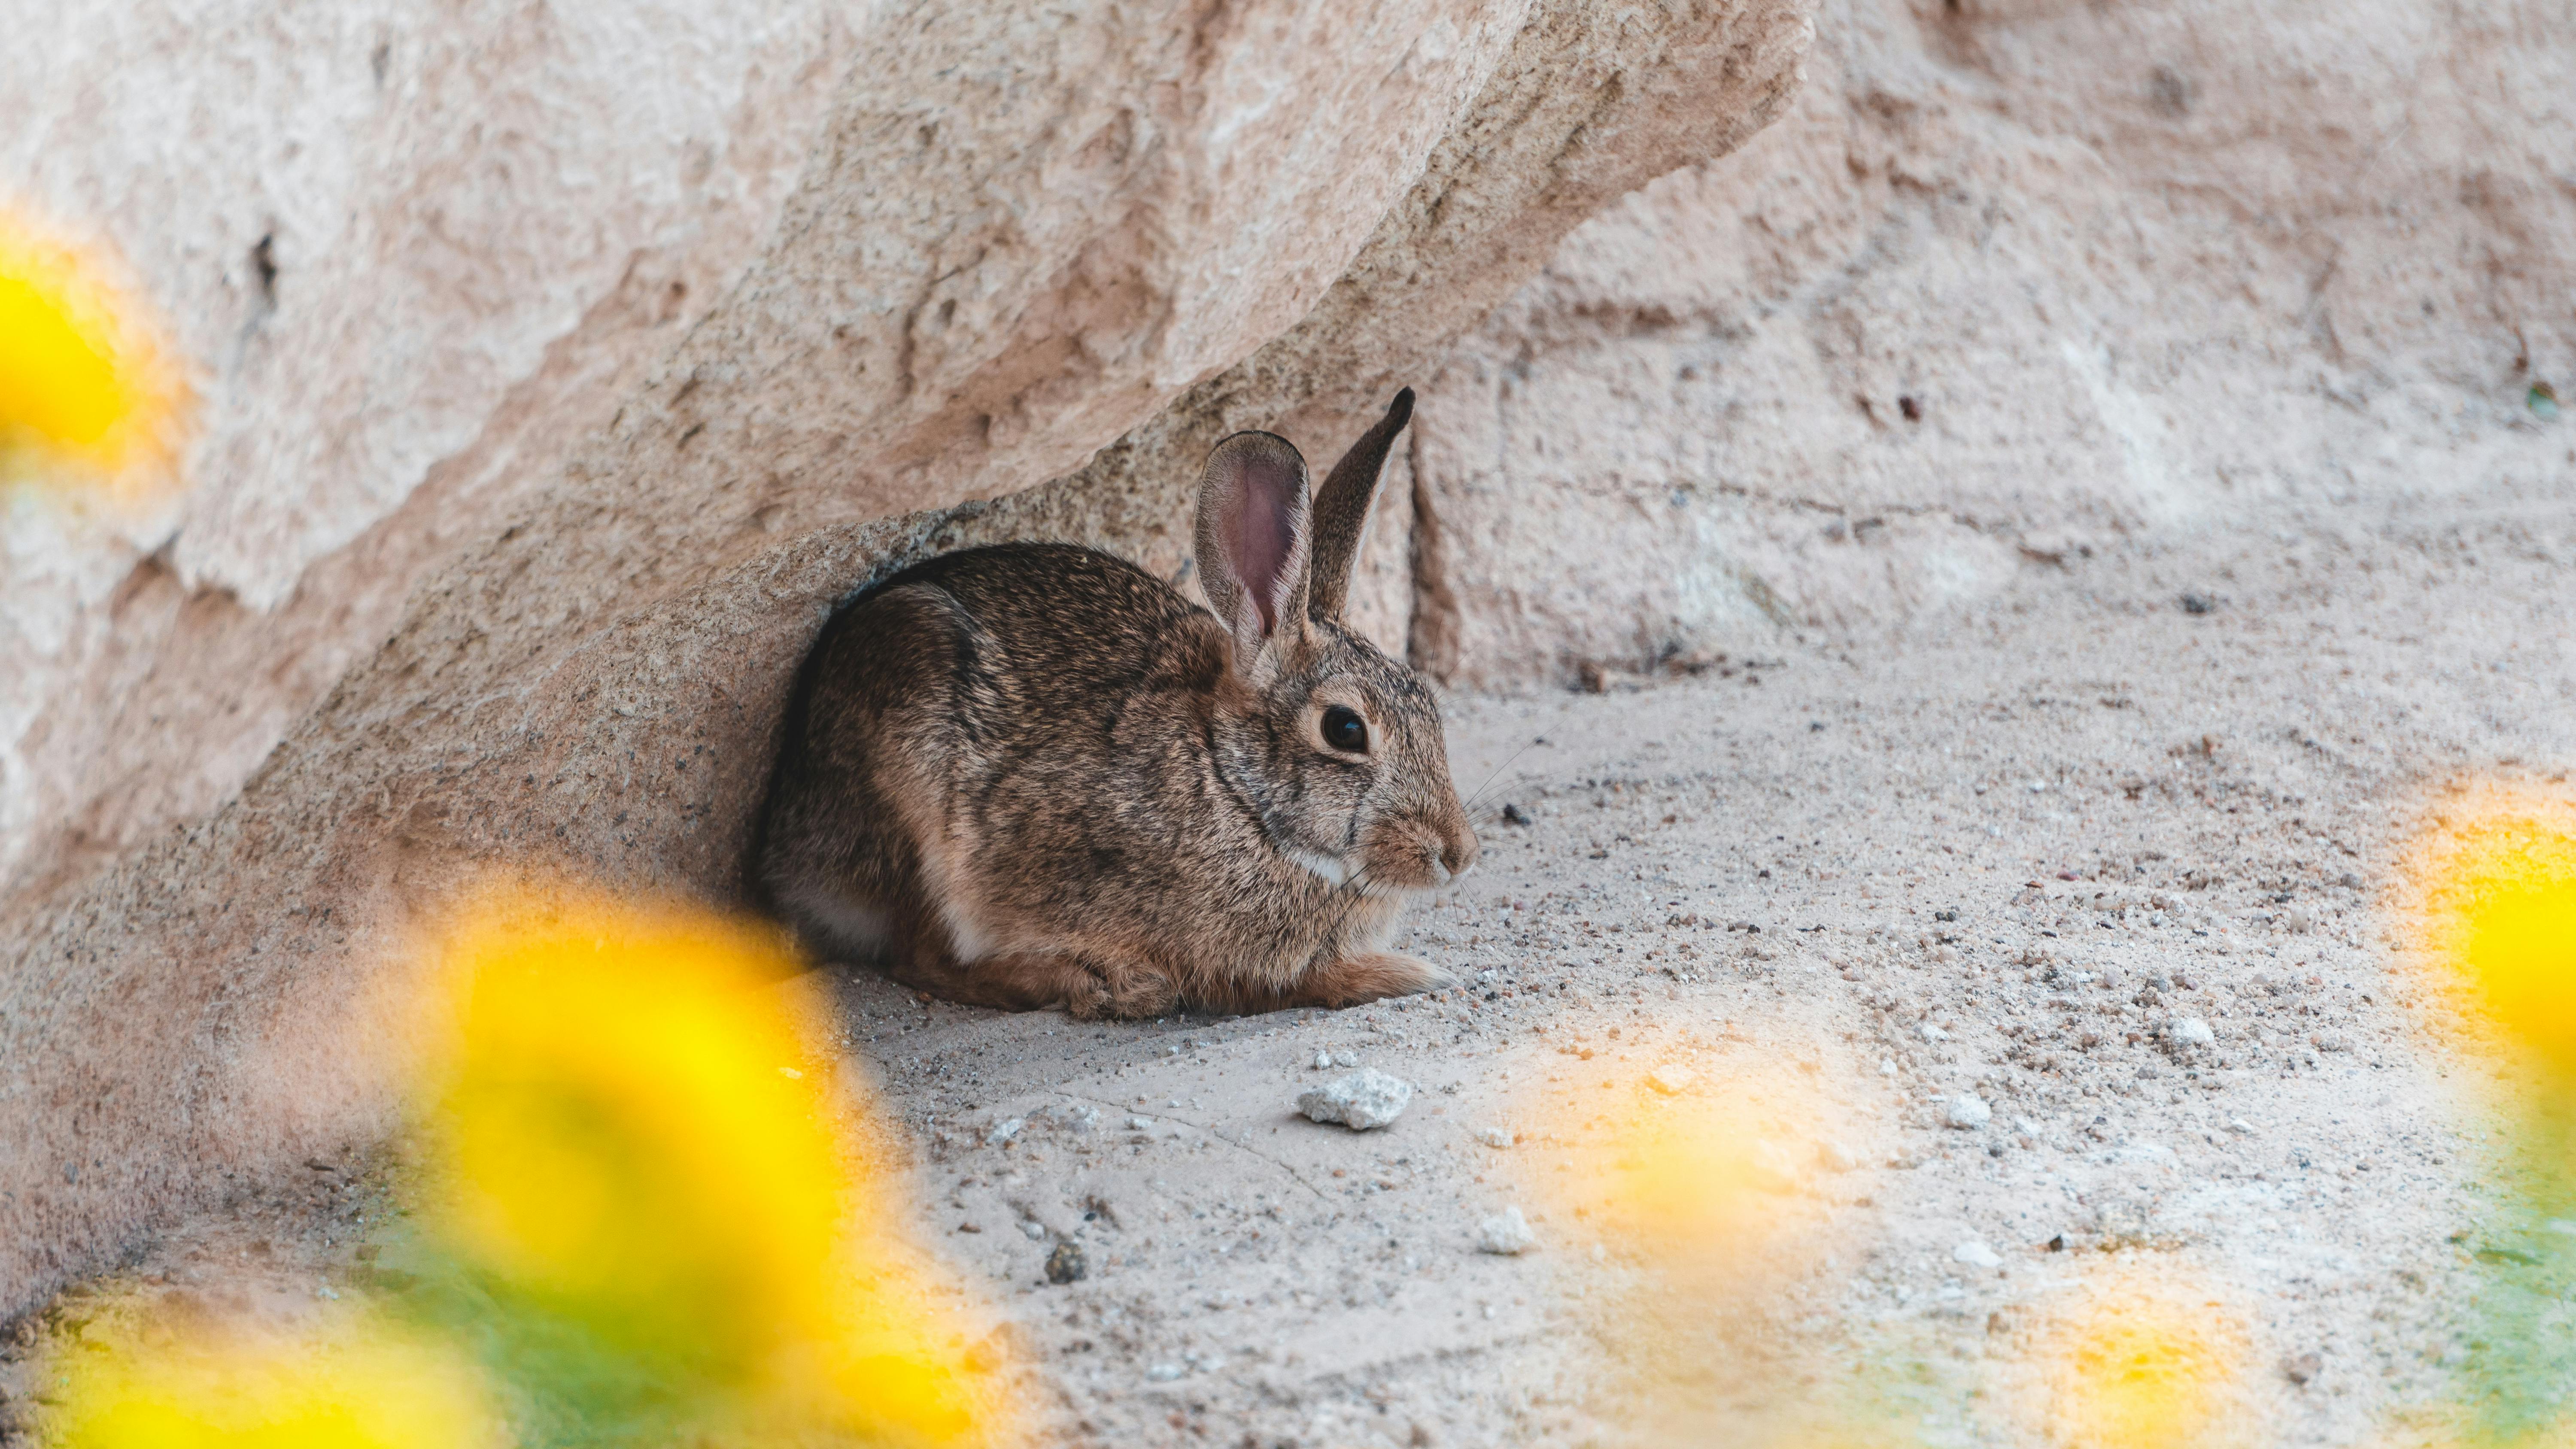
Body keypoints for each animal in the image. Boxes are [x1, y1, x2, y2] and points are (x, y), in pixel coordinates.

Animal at [752, 391, 1473, 1014]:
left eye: (1427, 703)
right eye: (1345, 729)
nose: (1459, 855)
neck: (1232, 785)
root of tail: (783, 841)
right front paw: (1405, 973)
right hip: (916, 783)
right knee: (921, 957)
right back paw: (1100, 985)